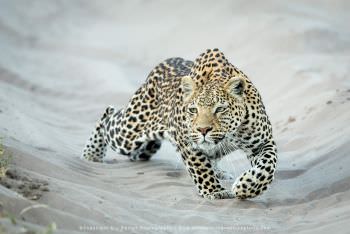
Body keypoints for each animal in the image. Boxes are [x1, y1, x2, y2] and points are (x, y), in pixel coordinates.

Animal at [81, 49, 276, 199]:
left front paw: (247, 187)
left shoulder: (262, 142)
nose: (203, 129)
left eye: (220, 109)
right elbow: (201, 168)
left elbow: (267, 167)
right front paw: (214, 191)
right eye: (193, 110)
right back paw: (91, 154)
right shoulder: (188, 143)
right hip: (128, 133)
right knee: (109, 115)